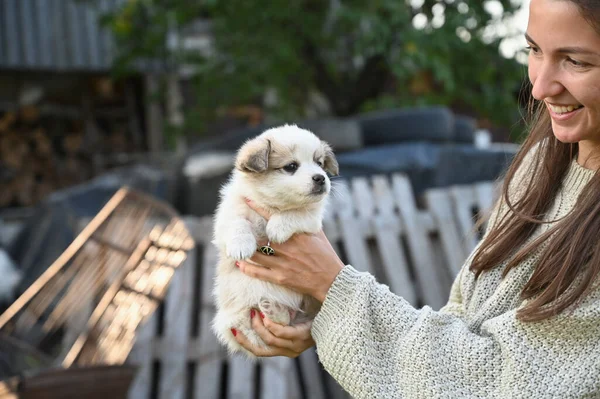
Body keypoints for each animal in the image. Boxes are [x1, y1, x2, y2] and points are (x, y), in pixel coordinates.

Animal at [211, 123, 338, 358]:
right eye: (291, 166)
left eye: (319, 163)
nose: (321, 178)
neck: (273, 205)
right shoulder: (227, 218)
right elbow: (238, 224)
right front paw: (241, 245)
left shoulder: (311, 219)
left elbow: (296, 213)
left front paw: (277, 227)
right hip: (238, 319)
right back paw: (273, 309)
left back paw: (275, 310)